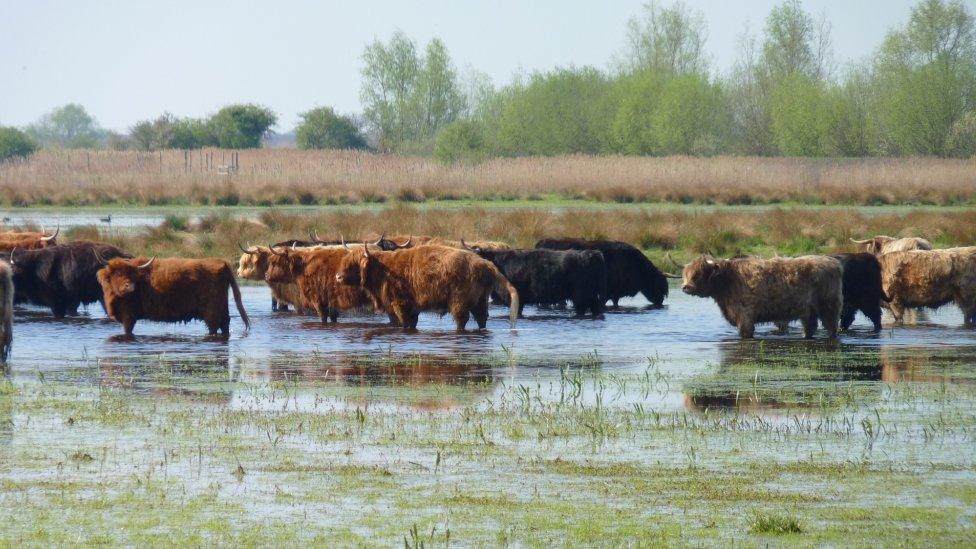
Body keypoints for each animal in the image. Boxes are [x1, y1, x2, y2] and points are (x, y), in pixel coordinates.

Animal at [97, 256, 250, 338]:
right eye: (118, 274)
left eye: (131, 274)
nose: (130, 286)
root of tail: (222, 263)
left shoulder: (128, 316)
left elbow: (127, 331)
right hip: (222, 306)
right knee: (225, 324)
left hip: (211, 310)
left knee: (214, 326)